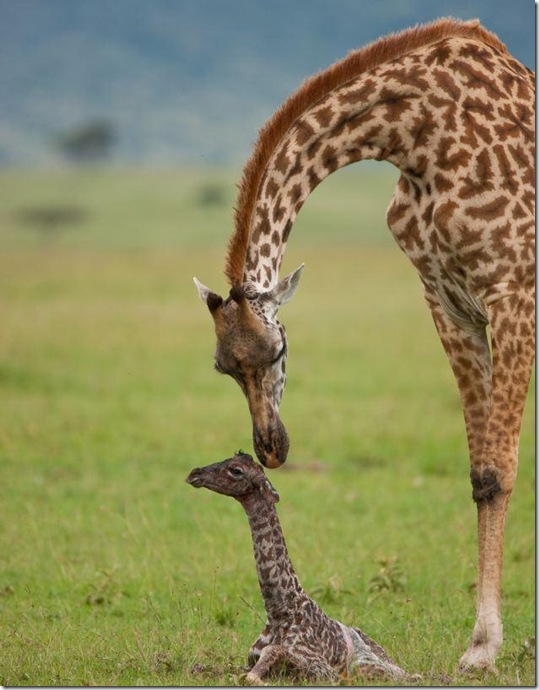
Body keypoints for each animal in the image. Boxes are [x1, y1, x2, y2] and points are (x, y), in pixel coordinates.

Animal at [186, 452, 409, 684]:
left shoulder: (327, 672)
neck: (279, 610)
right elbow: (211, 668)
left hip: (370, 669)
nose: (195, 473)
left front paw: (260, 677)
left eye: (236, 470)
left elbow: (268, 659)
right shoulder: (249, 659)